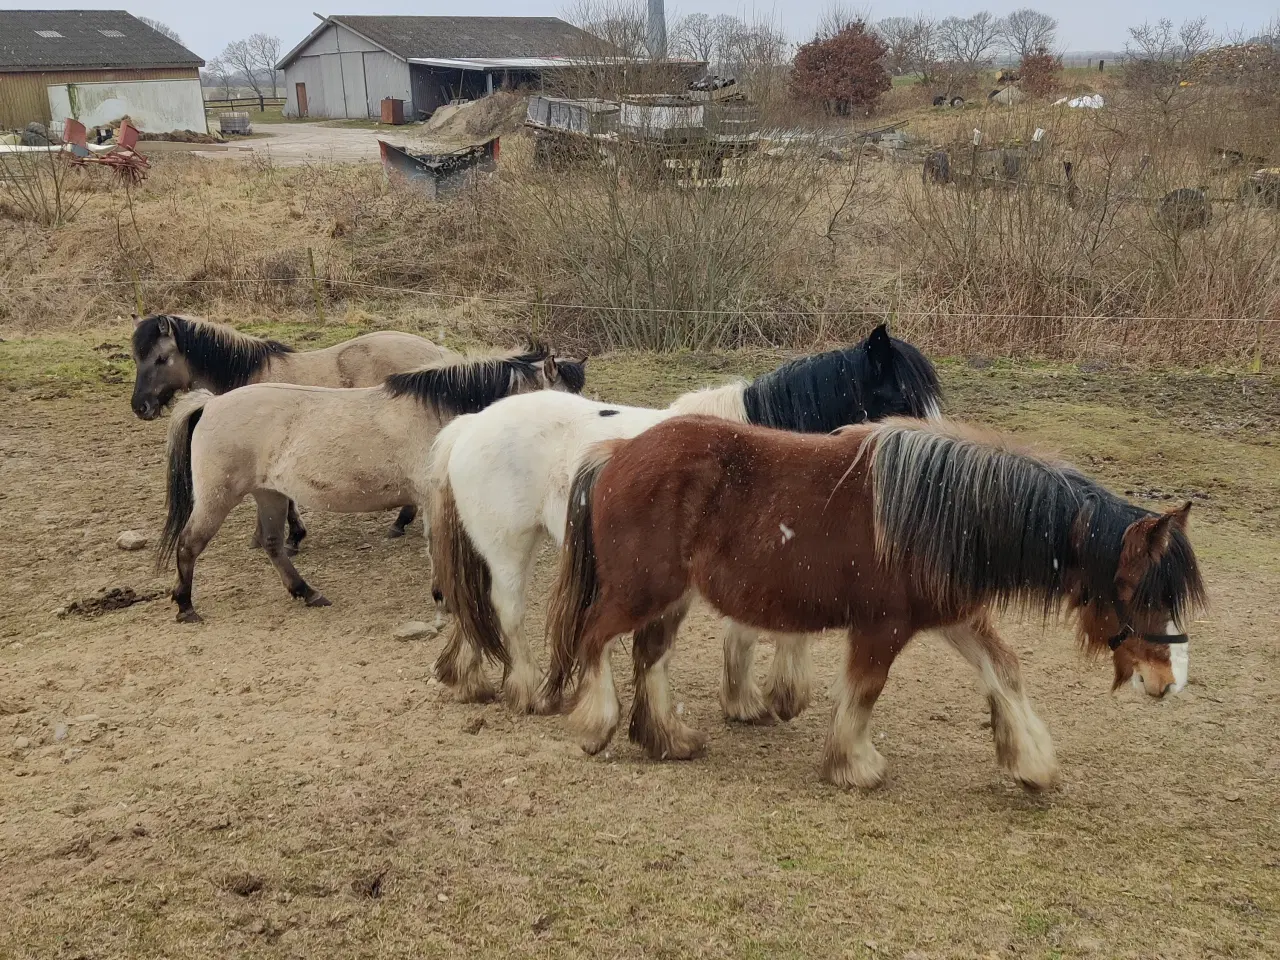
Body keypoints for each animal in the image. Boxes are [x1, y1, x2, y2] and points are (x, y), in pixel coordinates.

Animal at [157, 345, 586, 624]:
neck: (439, 412)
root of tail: (210, 403)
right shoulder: (432, 497)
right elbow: (439, 546)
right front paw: (444, 599)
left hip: (270, 494)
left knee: (273, 544)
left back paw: (307, 592)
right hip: (217, 497)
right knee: (190, 544)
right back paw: (185, 606)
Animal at [430, 327, 942, 716]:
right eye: (901, 395)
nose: (936, 467)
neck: (756, 453)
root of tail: (470, 425)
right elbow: (749, 631)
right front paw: (752, 701)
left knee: (472, 604)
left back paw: (469, 679)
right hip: (510, 547)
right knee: (507, 610)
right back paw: (528, 690)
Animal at [545, 417, 1203, 793]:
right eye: (1143, 592)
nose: (1169, 681)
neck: (947, 512)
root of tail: (618, 450)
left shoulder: (954, 618)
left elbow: (1005, 672)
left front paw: (1031, 763)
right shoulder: (882, 628)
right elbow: (865, 692)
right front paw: (854, 767)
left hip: (672, 595)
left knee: (649, 653)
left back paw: (668, 740)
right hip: (640, 590)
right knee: (594, 639)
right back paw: (599, 727)